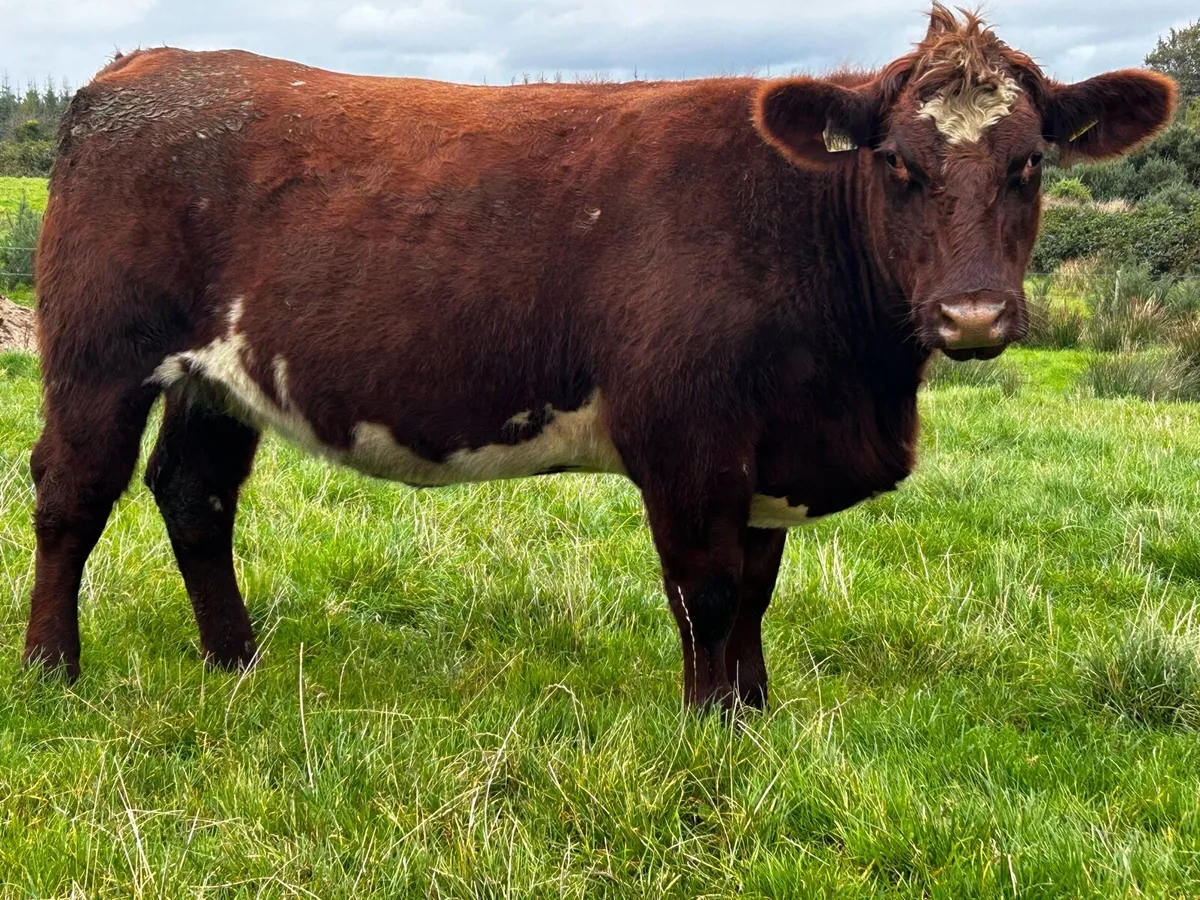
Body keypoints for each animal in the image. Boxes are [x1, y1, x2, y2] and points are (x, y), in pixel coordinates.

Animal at [24, 5, 1175, 710]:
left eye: (1030, 163)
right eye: (897, 163)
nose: (972, 314)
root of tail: (141, 68)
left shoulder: (770, 449)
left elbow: (756, 594)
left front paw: (755, 715)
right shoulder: (688, 439)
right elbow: (708, 590)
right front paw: (711, 730)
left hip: (217, 376)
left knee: (195, 494)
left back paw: (237, 661)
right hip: (97, 355)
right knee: (72, 494)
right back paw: (51, 668)